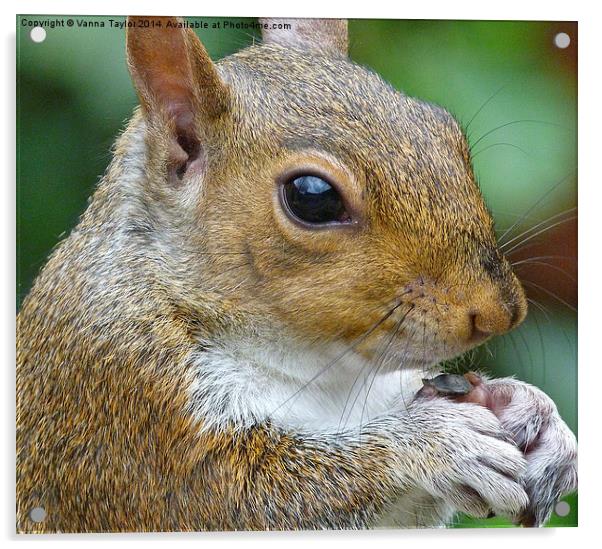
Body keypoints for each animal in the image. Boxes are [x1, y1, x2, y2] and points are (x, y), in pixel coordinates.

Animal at [16, 17, 576, 532]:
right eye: (312, 197)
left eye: (444, 127)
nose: (501, 313)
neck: (321, 369)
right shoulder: (129, 402)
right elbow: (249, 498)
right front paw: (438, 443)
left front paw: (534, 413)